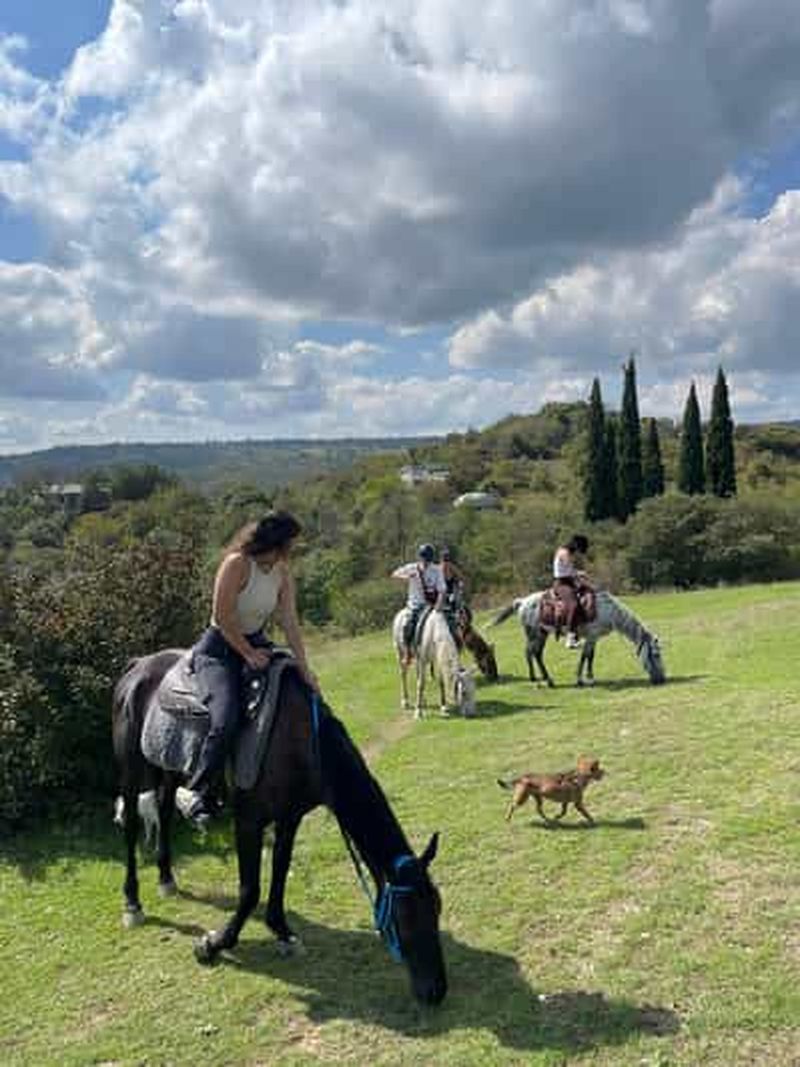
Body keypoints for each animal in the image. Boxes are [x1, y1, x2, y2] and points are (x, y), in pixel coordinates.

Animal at [112, 653, 447, 1005]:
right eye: (405, 918)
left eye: (436, 909)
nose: (436, 991)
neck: (302, 744)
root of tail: (138, 665)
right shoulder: (249, 821)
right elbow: (250, 890)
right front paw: (212, 945)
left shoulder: (290, 818)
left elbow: (280, 874)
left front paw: (282, 931)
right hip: (132, 769)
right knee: (132, 825)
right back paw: (133, 904)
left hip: (168, 768)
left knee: (163, 810)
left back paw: (166, 878)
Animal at [492, 589, 666, 687]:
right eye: (656, 655)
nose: (662, 679)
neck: (608, 611)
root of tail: (522, 602)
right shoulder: (591, 636)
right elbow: (586, 656)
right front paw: (583, 680)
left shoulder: (593, 638)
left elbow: (589, 656)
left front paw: (588, 678)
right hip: (537, 633)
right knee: (536, 654)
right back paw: (548, 681)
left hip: (537, 634)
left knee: (531, 653)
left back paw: (535, 678)